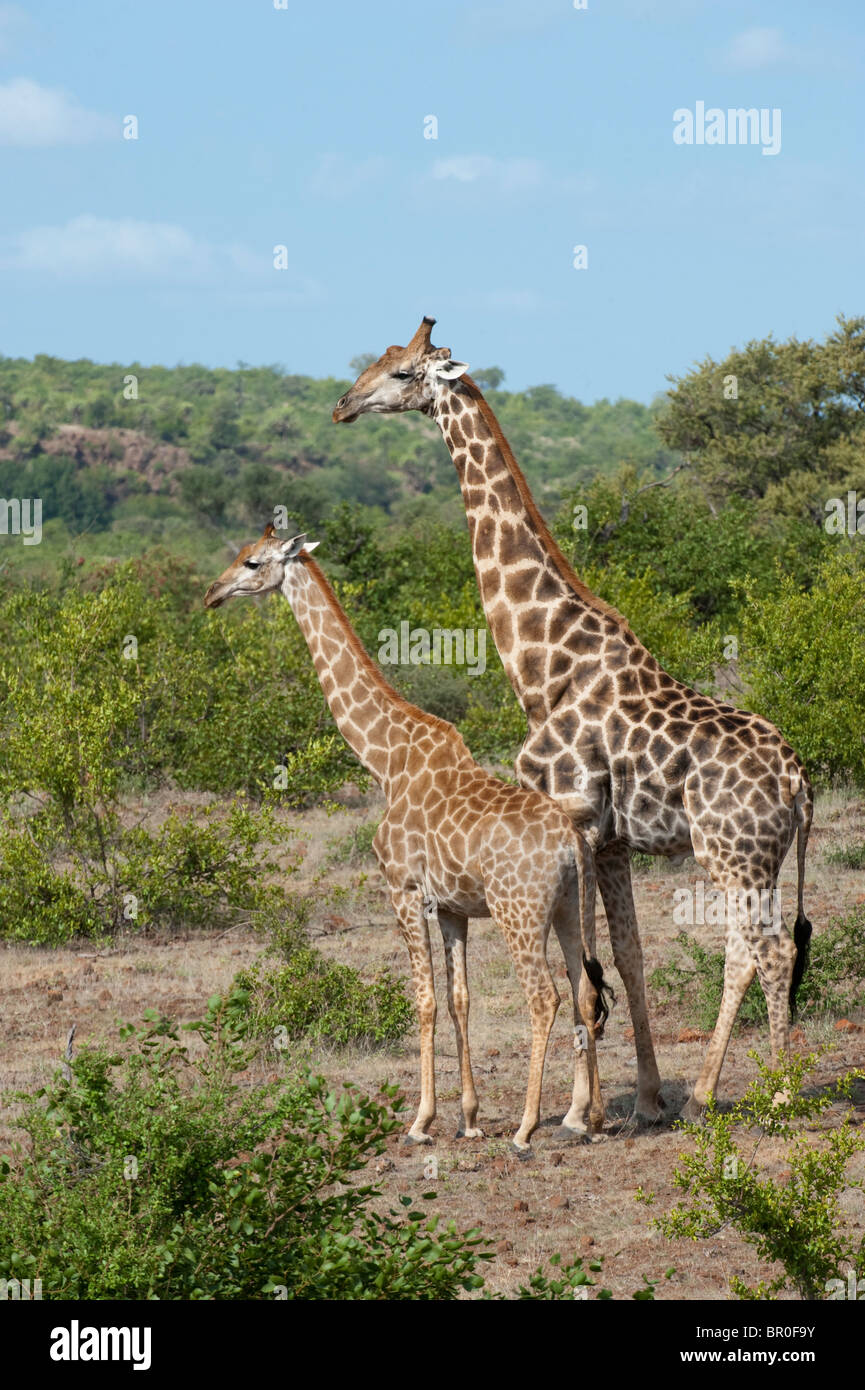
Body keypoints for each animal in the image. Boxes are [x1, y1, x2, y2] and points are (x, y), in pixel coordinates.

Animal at [204, 524, 612, 1150]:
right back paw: (582, 1118)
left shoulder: (401, 890)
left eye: (252, 561)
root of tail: (571, 840)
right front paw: (469, 1118)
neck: (385, 760)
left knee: (544, 998)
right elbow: (459, 999)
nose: (212, 593)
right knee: (585, 989)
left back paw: (526, 1128)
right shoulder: (452, 907)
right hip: (572, 906)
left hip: (519, 912)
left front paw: (421, 1122)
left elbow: (423, 1001)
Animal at [332, 317, 813, 1122]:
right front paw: (644, 1096)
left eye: (401, 373)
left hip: (732, 854)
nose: (342, 405)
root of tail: (800, 785)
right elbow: (625, 954)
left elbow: (579, 962)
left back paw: (770, 1094)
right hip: (759, 859)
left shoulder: (573, 817)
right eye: (377, 360)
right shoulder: (610, 839)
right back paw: (714, 1090)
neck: (542, 662)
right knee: (752, 949)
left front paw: (576, 1110)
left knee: (767, 950)